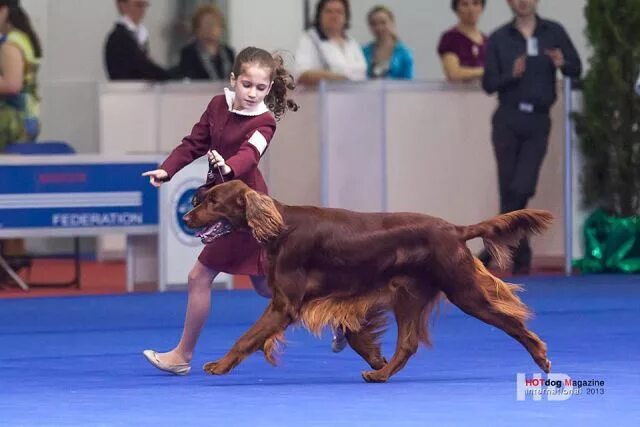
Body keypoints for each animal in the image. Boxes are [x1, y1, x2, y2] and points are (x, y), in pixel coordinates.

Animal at [182, 179, 552, 382]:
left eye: (214, 201)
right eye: (202, 198)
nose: (185, 217)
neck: (281, 226)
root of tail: (455, 230)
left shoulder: (284, 305)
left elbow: (246, 338)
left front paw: (219, 366)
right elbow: (356, 334)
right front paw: (376, 359)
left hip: (463, 290)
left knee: (510, 322)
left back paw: (541, 356)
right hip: (409, 295)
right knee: (408, 344)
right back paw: (380, 375)